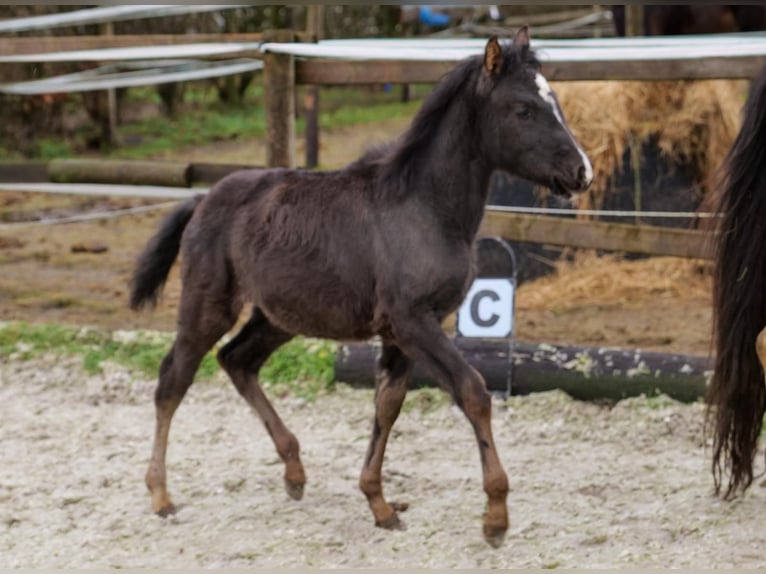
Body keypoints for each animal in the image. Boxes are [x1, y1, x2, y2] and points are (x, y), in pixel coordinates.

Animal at [129, 28, 592, 548]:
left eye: (555, 101)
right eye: (523, 109)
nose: (582, 172)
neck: (424, 208)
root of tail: (203, 198)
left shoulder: (402, 332)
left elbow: (387, 405)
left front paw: (380, 503)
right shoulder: (413, 322)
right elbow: (473, 392)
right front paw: (495, 516)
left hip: (280, 316)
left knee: (237, 360)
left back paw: (294, 470)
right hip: (209, 305)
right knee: (173, 380)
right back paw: (161, 495)